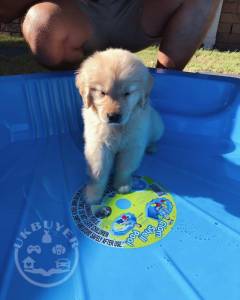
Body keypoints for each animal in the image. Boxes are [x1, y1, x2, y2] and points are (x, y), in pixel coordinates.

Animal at [76, 48, 164, 204]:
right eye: (102, 93)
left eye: (127, 93)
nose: (113, 116)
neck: (116, 128)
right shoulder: (98, 146)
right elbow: (98, 172)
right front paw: (93, 194)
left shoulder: (133, 146)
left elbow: (124, 168)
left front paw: (122, 184)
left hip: (157, 126)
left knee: (154, 139)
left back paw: (152, 147)